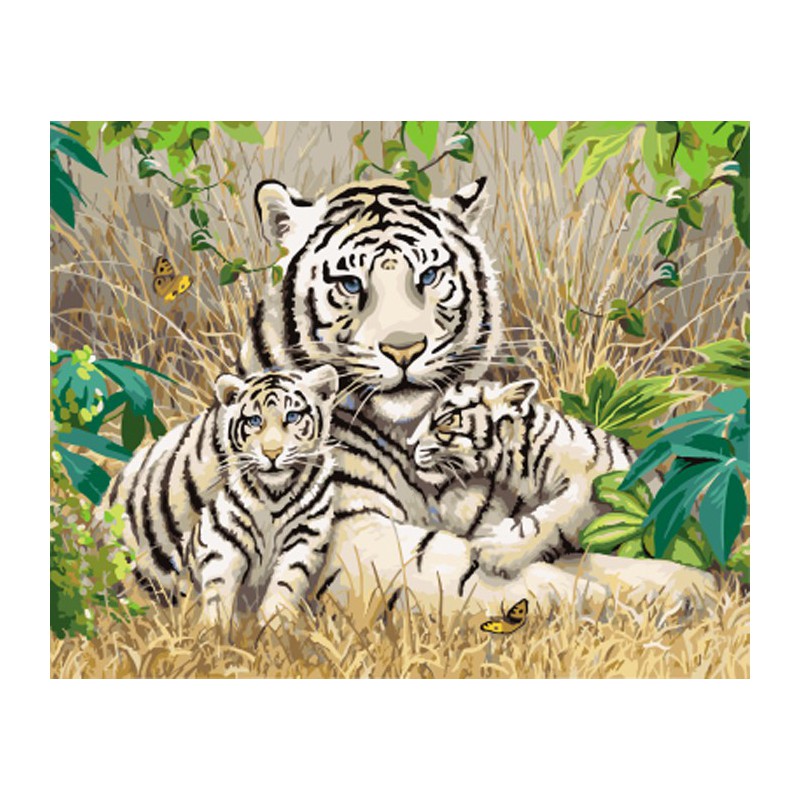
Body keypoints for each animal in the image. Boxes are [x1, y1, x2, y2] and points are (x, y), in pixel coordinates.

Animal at [101, 365, 338, 627]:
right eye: (255, 421)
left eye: (293, 416)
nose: (272, 453)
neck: (274, 494)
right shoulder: (221, 540)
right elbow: (219, 592)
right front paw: (214, 632)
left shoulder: (305, 537)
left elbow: (284, 587)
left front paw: (275, 628)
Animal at [408, 378, 652, 579]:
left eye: (445, 420)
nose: (410, 444)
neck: (517, 469)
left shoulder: (586, 481)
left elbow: (551, 516)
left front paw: (496, 552)